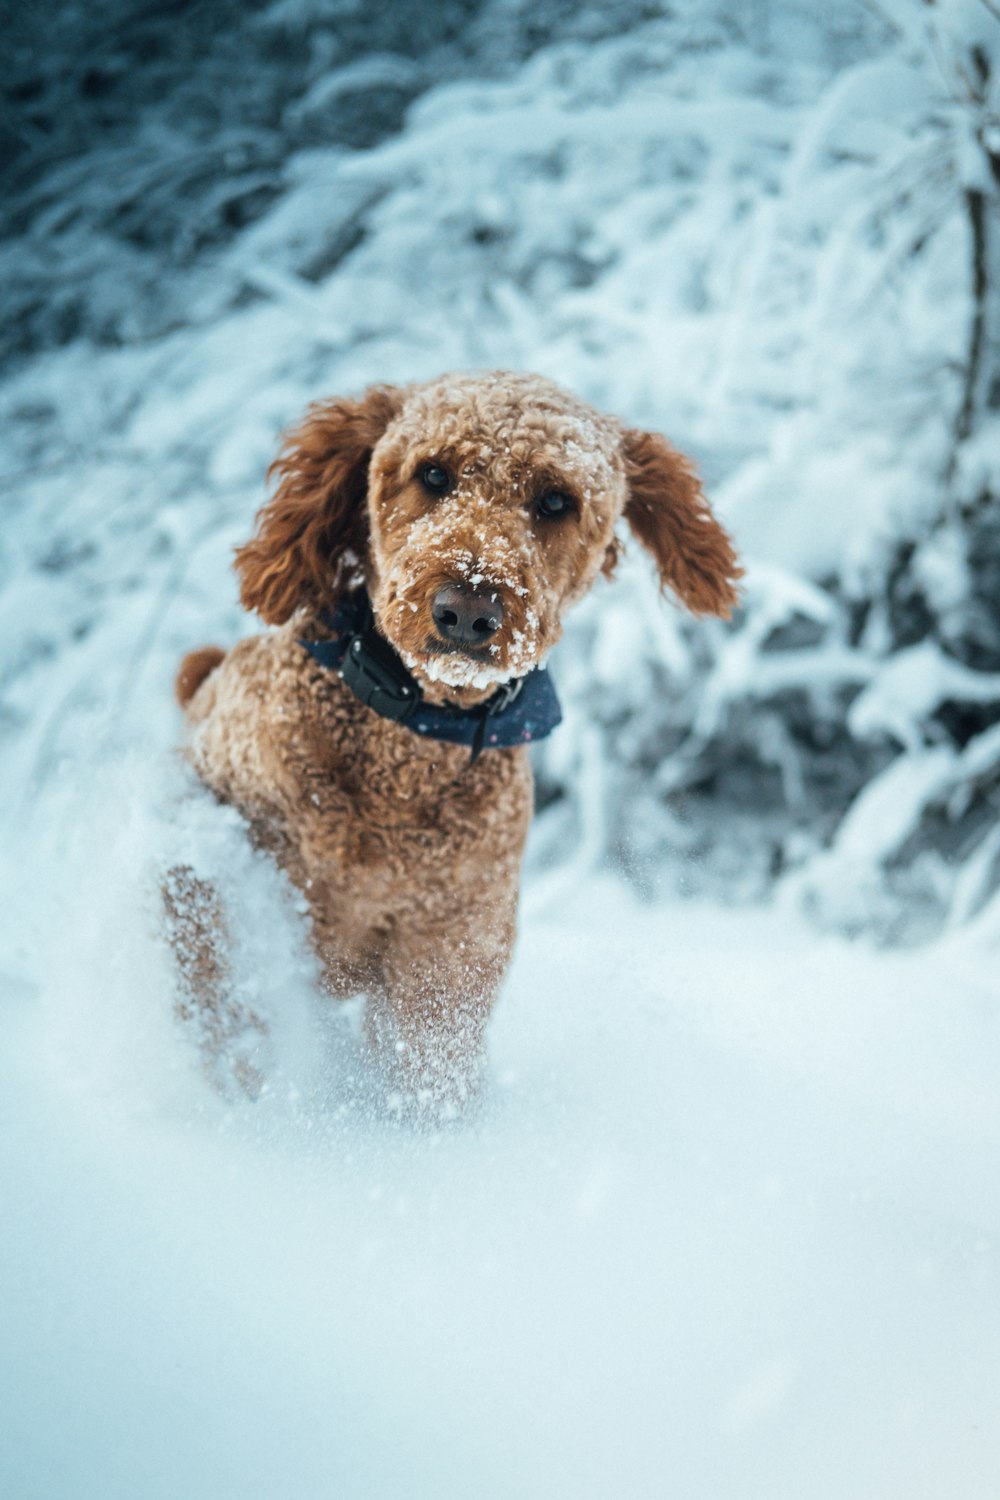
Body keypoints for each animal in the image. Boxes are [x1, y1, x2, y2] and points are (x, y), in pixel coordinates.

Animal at [167, 369, 740, 1110]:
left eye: (556, 500)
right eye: (433, 474)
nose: (467, 608)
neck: (407, 748)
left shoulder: (451, 945)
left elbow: (428, 1064)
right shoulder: (206, 838)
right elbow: (218, 973)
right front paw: (247, 1088)